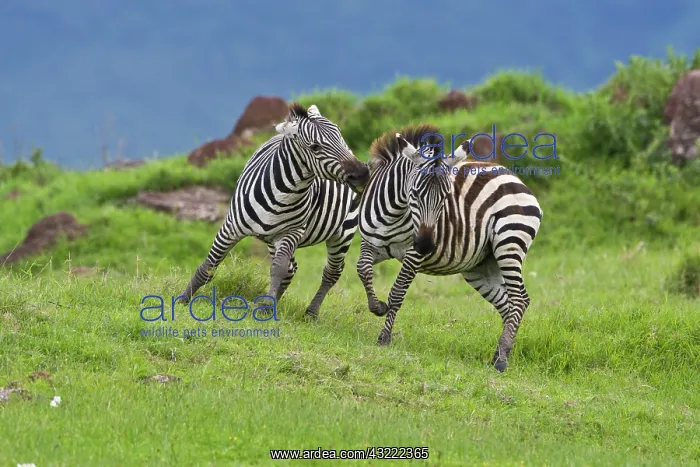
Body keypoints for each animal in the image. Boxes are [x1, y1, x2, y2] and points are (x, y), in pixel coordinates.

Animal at [178, 102, 370, 319]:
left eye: (339, 135)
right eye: (315, 147)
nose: (363, 174)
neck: (285, 194)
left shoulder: (291, 232)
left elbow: (278, 269)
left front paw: (267, 307)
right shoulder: (231, 227)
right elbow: (209, 265)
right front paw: (184, 298)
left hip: (343, 231)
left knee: (331, 272)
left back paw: (310, 313)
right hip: (272, 239)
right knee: (293, 269)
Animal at [356, 123, 543, 371]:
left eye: (446, 197)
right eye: (414, 193)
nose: (426, 245)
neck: (393, 214)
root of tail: (515, 179)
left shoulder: (412, 255)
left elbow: (397, 293)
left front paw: (384, 338)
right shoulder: (370, 243)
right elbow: (363, 269)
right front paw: (377, 306)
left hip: (509, 244)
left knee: (519, 300)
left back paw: (502, 361)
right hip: (480, 266)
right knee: (507, 304)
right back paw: (500, 353)